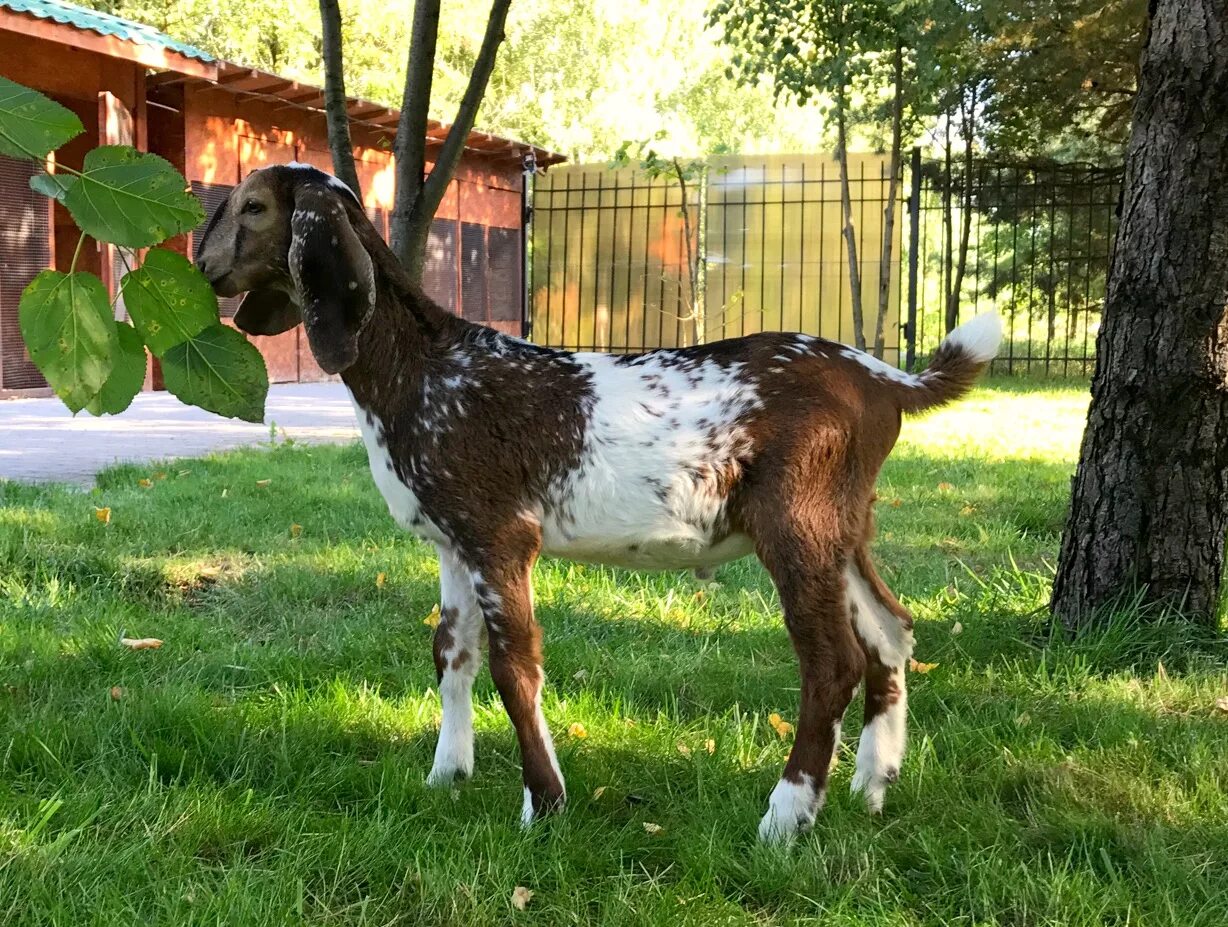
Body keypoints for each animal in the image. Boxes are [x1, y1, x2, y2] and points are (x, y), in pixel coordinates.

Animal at [191, 164, 997, 839]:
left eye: (255, 206)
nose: (203, 266)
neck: (425, 368)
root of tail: (882, 380)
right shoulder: (453, 539)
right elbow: (451, 651)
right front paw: (445, 775)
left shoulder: (499, 533)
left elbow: (515, 665)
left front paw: (543, 804)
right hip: (844, 525)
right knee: (891, 631)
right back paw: (872, 783)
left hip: (796, 519)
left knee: (832, 661)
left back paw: (786, 814)